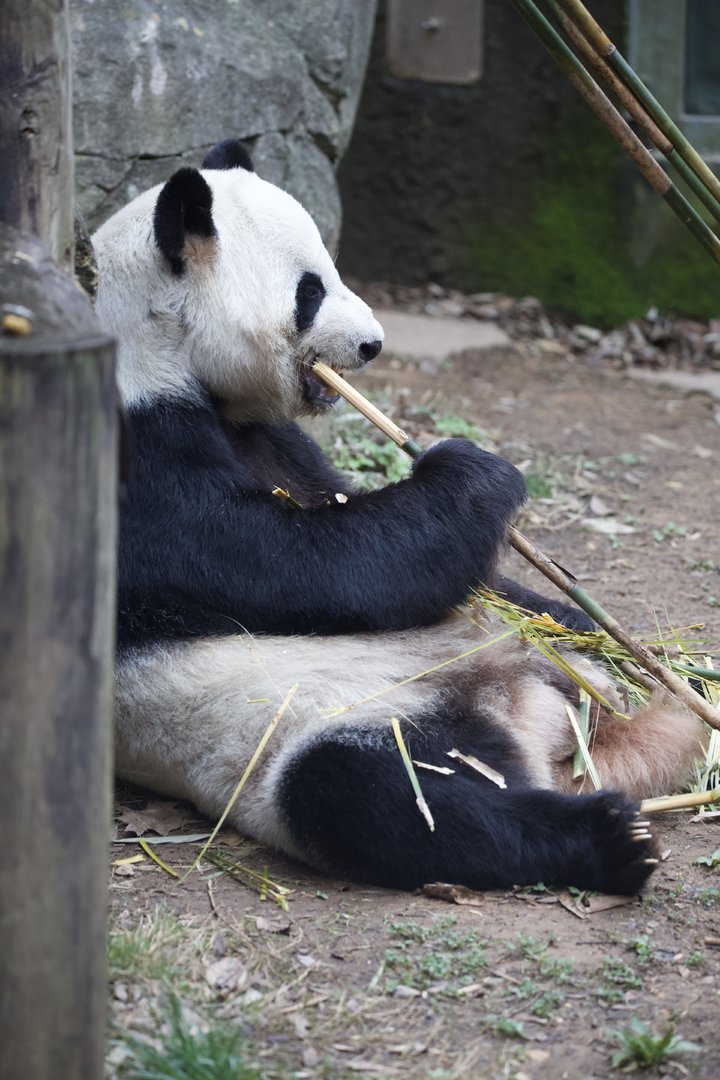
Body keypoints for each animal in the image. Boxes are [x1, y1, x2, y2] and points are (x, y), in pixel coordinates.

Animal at [94, 139, 705, 896]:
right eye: (310, 291)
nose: (372, 346)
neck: (160, 353)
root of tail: (538, 718)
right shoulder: (140, 460)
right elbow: (304, 564)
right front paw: (475, 472)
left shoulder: (275, 442)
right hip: (326, 724)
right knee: (385, 792)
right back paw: (613, 837)